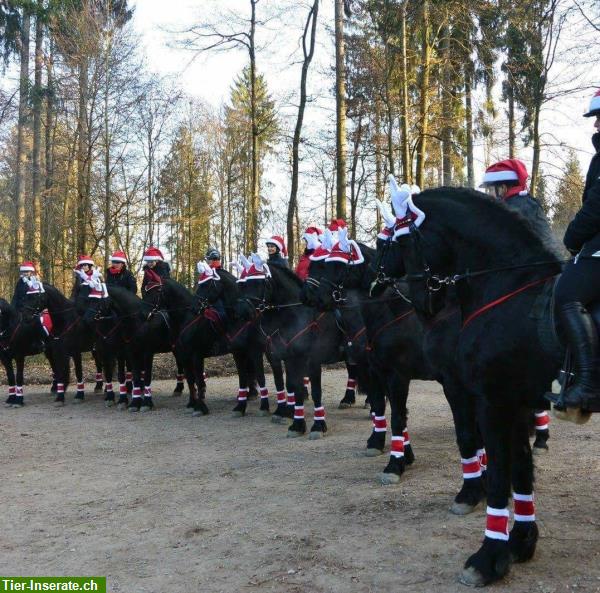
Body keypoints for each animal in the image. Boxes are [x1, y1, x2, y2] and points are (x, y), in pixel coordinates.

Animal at [378, 187, 564, 584]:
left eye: (398, 241)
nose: (421, 300)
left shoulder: (485, 398)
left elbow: (490, 461)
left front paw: (488, 555)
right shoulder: (511, 400)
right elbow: (518, 467)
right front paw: (520, 541)